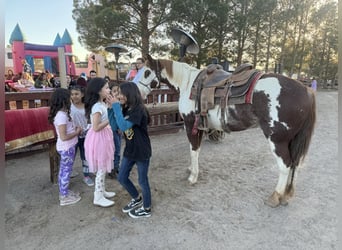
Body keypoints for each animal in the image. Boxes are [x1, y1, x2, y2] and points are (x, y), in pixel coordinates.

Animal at [143, 54, 316, 207]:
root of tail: (306, 90)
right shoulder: (200, 127)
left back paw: (275, 196)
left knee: (285, 165)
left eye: (146, 72)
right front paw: (192, 169)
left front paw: (193, 177)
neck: (188, 83)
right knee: (294, 165)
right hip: (292, 141)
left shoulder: (190, 124)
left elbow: (193, 150)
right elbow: (196, 150)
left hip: (277, 140)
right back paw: (286, 195)